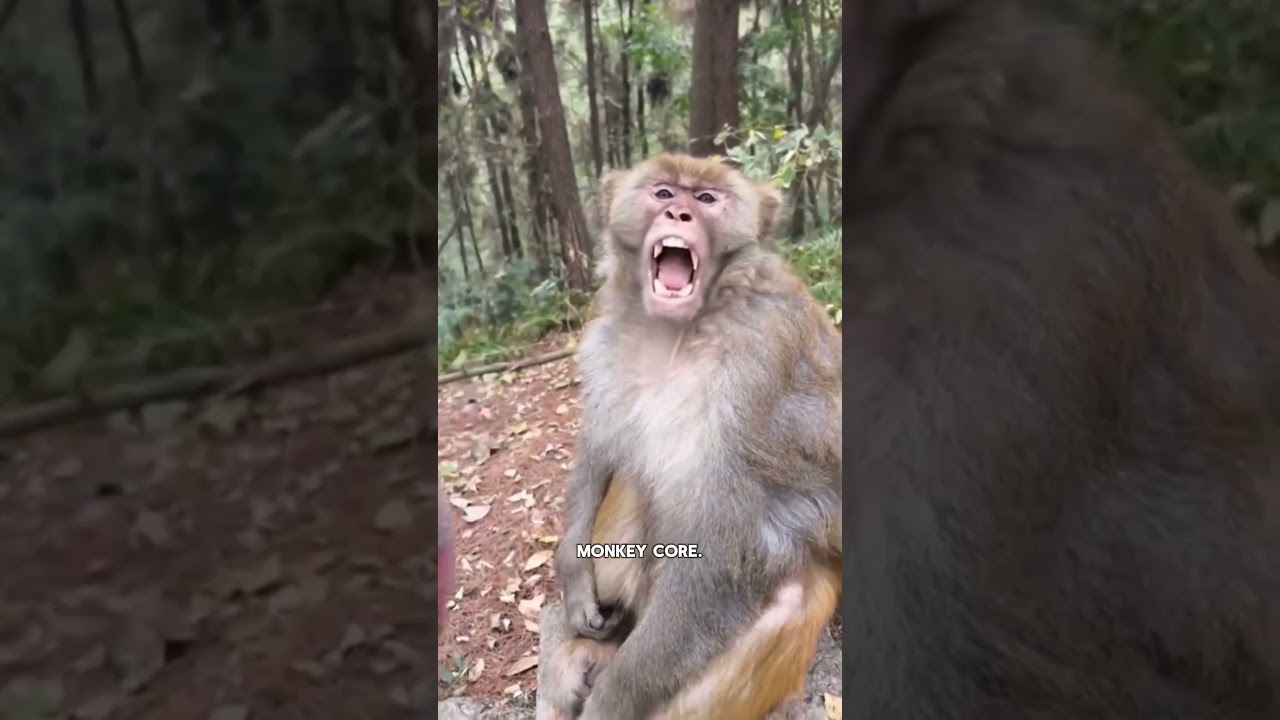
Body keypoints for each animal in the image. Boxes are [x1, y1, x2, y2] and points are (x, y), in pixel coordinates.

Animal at [542, 153, 842, 720]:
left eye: (706, 199)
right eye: (663, 192)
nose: (679, 213)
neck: (678, 330)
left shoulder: (752, 379)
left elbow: (717, 558)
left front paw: (612, 700)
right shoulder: (603, 337)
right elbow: (600, 445)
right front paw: (572, 575)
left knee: (786, 598)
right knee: (637, 477)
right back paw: (598, 646)